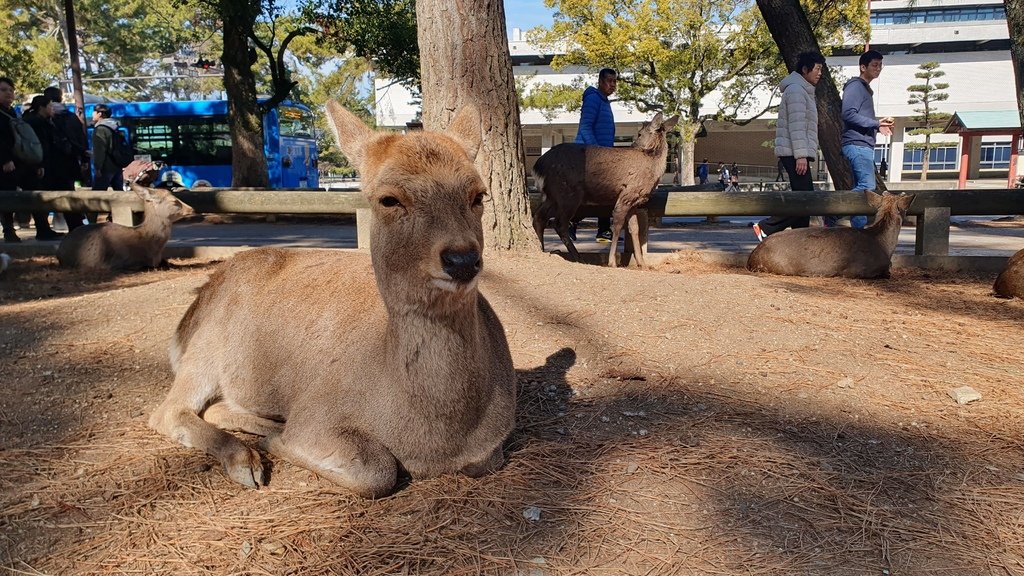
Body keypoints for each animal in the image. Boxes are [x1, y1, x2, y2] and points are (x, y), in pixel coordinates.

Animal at [148, 100, 516, 496]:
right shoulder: (319, 409)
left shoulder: (493, 445)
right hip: (205, 347)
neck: (436, 443)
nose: (462, 260)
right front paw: (279, 443)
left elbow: (488, 460)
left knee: (214, 406)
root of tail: (194, 308)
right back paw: (246, 459)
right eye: (389, 199)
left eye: (479, 195)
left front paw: (274, 436)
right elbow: (377, 472)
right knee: (168, 410)